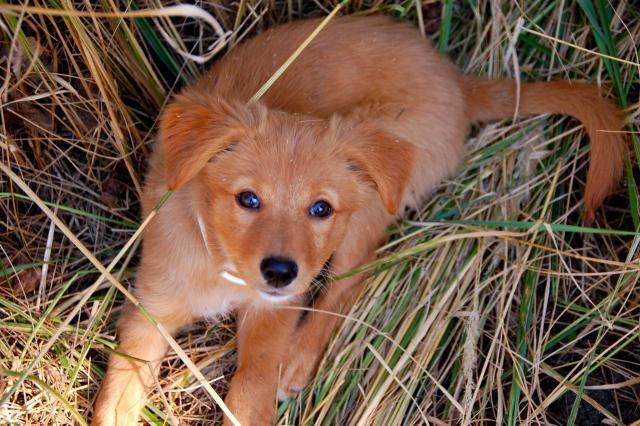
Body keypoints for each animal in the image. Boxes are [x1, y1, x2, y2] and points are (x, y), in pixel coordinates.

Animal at [92, 15, 626, 425]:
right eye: (247, 199)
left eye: (320, 209)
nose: (280, 272)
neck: (223, 263)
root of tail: (456, 79)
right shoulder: (150, 307)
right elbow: (118, 393)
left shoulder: (273, 314)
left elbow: (253, 382)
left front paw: (266, 384)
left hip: (372, 184)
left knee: (351, 280)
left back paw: (298, 361)